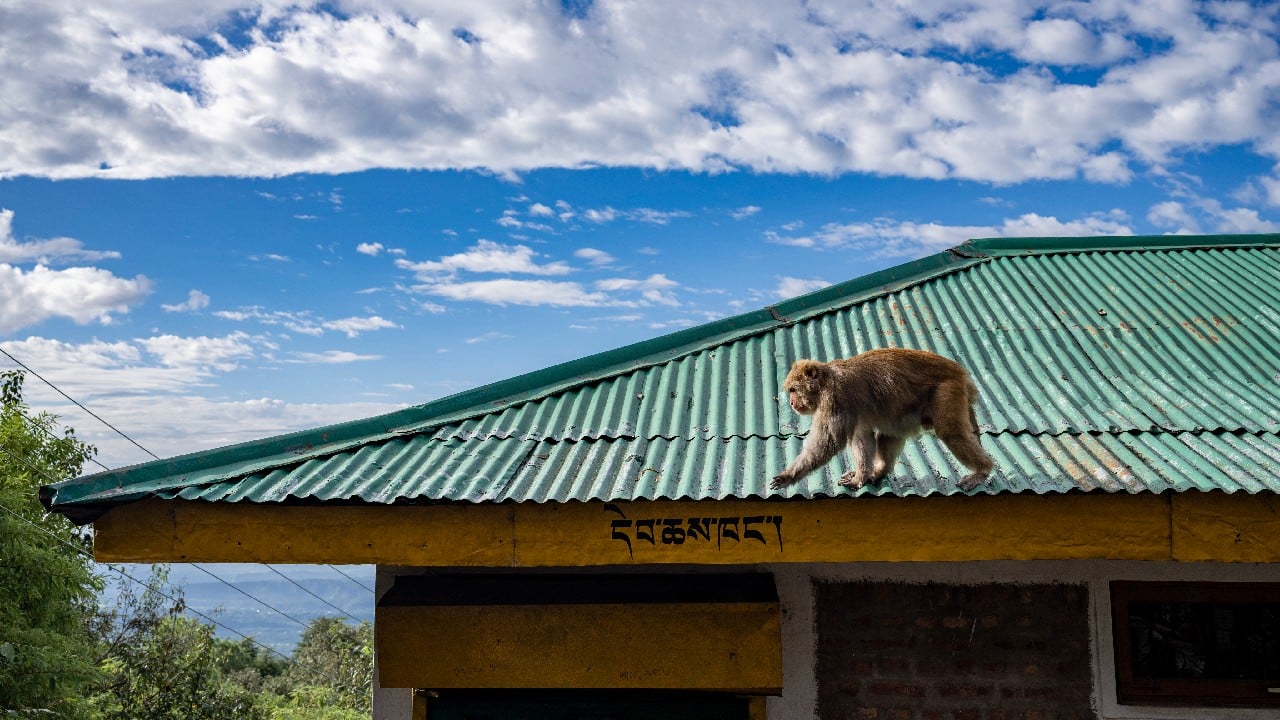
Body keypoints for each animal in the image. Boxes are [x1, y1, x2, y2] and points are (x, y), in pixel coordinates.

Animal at [770, 348, 994, 492]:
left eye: (793, 390)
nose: (791, 403)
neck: (825, 381)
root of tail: (960, 372)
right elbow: (862, 437)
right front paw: (861, 476)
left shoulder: (835, 398)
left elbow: (829, 442)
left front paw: (789, 476)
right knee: (890, 433)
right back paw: (879, 471)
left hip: (947, 390)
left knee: (950, 432)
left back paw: (982, 470)